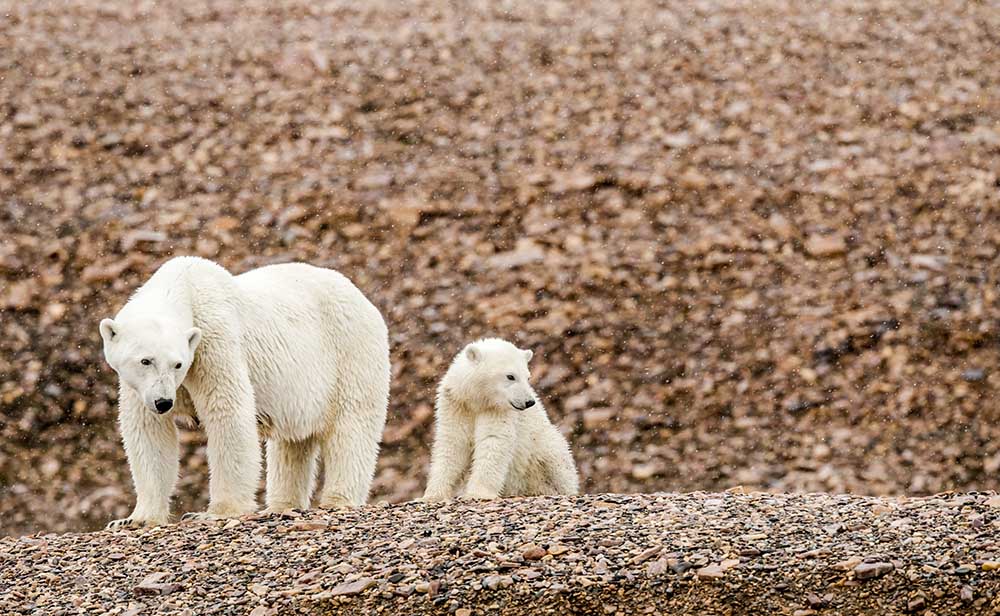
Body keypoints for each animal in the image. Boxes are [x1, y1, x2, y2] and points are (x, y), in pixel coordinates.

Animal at [96, 258, 386, 528]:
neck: (184, 287)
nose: (164, 402)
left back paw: (337, 500)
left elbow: (227, 412)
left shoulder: (215, 342)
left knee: (351, 429)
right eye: (145, 360)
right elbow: (149, 432)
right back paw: (281, 505)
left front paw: (213, 513)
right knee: (291, 445)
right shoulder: (138, 387)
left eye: (177, 364)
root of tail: (364, 300)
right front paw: (134, 519)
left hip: (351, 353)